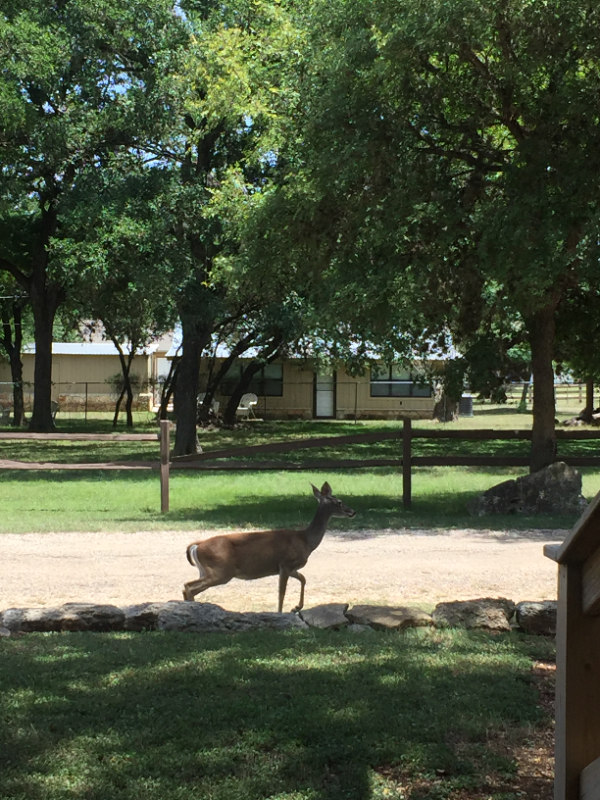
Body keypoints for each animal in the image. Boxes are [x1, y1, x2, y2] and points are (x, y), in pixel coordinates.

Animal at [183, 482, 356, 612]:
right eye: (339, 502)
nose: (352, 511)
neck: (306, 540)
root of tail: (197, 546)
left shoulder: (290, 567)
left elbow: (303, 579)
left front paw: (296, 607)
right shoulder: (285, 564)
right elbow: (281, 592)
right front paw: (281, 612)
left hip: (207, 571)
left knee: (189, 588)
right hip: (221, 571)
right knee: (188, 586)